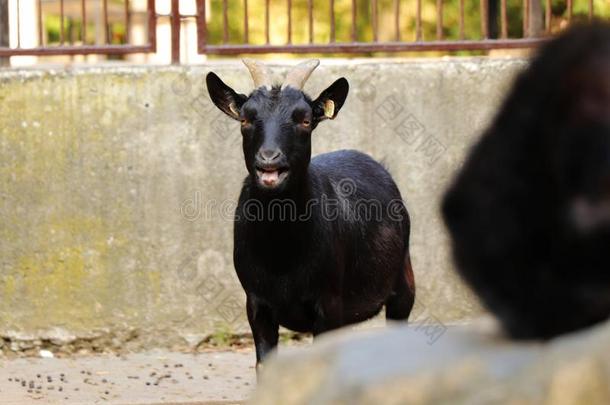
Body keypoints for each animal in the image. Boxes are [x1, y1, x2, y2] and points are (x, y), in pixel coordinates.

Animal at [205, 60, 414, 366]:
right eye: (245, 120)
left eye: (304, 120)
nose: (269, 160)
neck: (281, 254)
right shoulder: (256, 304)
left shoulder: (328, 303)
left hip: (402, 285)